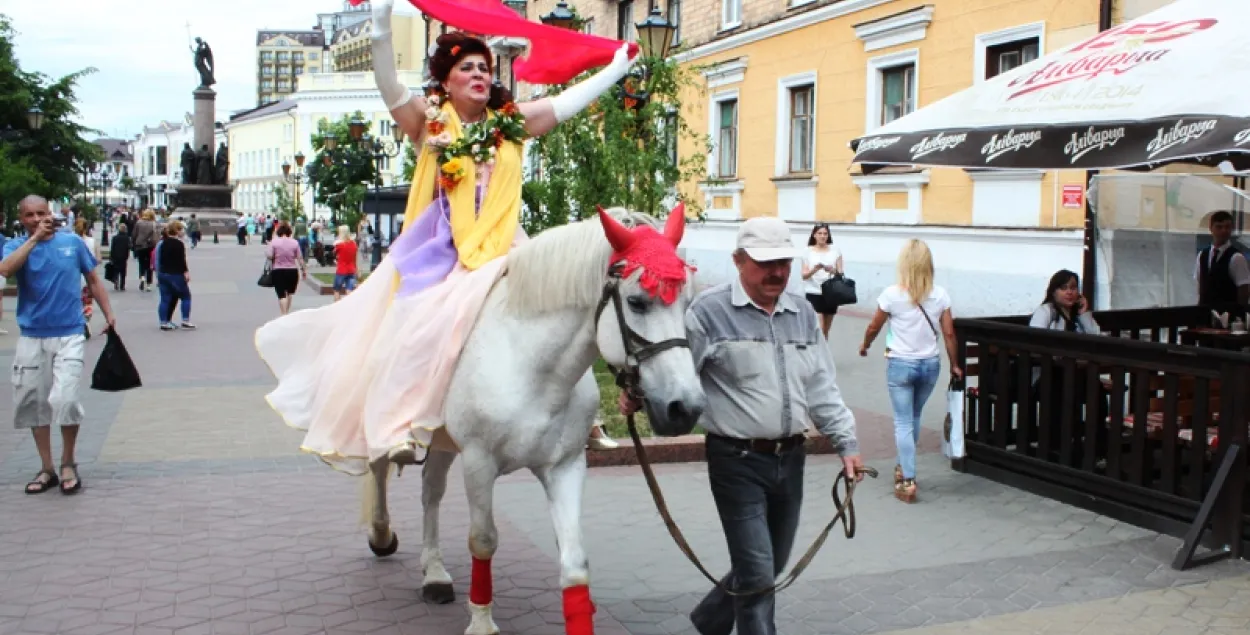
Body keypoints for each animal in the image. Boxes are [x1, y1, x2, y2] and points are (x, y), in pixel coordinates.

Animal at [362, 206, 715, 632]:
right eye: (637, 301)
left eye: (687, 302)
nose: (686, 408)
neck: (531, 366)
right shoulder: (478, 463)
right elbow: (483, 539)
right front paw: (482, 621)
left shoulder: (565, 466)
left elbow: (575, 561)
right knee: (378, 469)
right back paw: (381, 534)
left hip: (444, 439)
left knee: (430, 491)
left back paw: (433, 574)